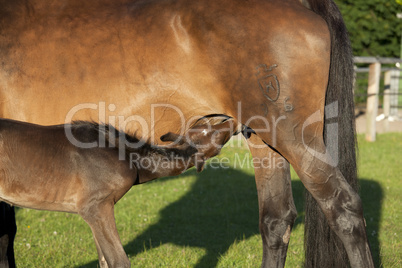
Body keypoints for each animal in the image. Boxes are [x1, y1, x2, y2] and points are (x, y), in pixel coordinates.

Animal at [0, 119, 236, 268]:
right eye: (211, 132)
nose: (234, 121)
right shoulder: (96, 207)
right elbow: (118, 261)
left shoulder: (98, 212)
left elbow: (104, 261)